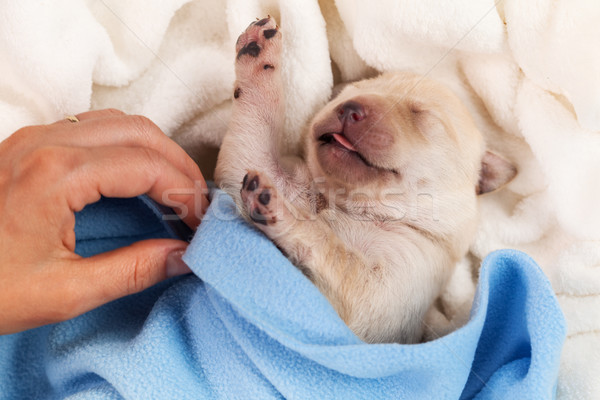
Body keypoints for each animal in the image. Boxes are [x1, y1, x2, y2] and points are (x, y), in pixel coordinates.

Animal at [216, 17, 516, 344]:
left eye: (421, 114)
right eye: (347, 93)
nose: (349, 108)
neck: (348, 204)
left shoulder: (384, 294)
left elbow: (327, 242)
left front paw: (283, 210)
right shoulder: (245, 167)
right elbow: (252, 136)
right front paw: (257, 52)